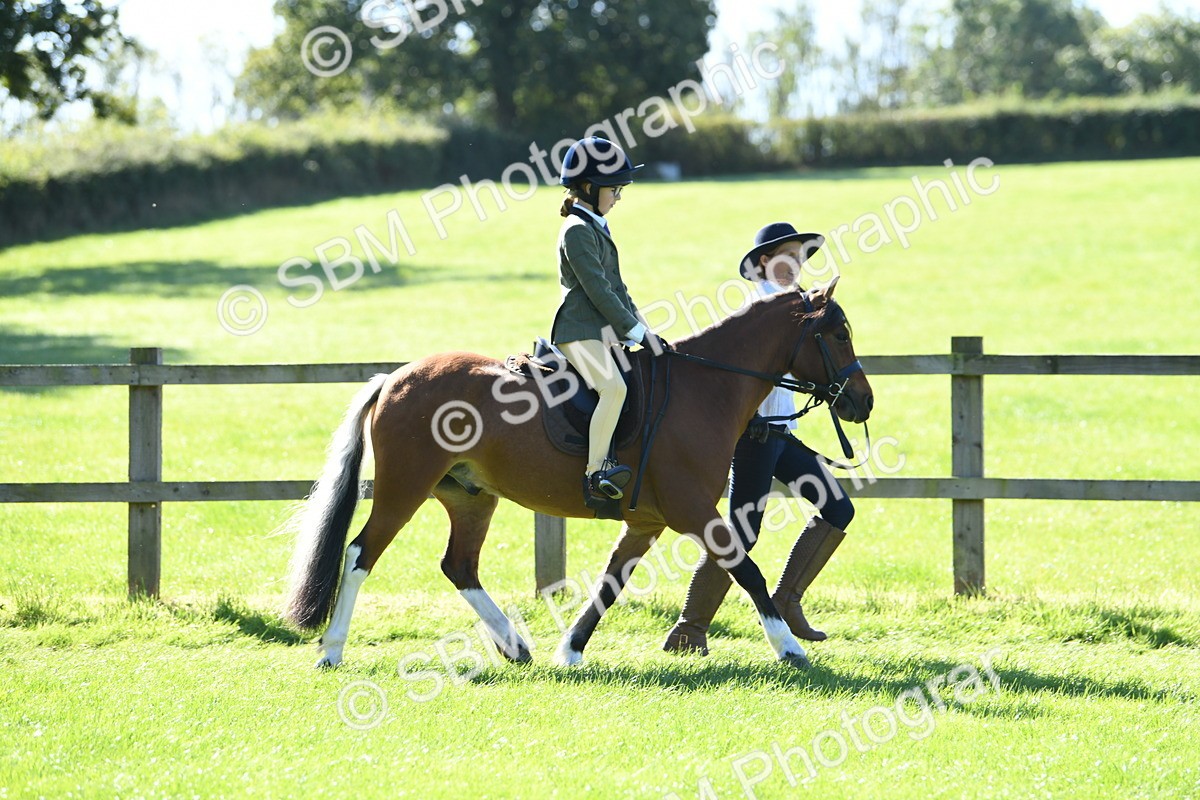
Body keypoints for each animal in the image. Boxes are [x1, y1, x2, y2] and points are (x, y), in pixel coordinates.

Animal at [282, 279, 873, 669]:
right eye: (839, 334)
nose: (862, 402)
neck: (704, 386)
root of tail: (396, 378)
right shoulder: (693, 511)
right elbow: (746, 570)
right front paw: (788, 647)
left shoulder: (647, 522)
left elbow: (611, 583)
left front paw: (569, 650)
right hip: (404, 489)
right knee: (361, 553)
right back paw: (332, 650)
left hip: (471, 497)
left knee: (459, 566)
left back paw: (515, 646)